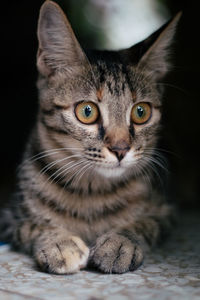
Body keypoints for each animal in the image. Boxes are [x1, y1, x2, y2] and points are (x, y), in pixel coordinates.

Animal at [0, 0, 181, 274]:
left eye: (141, 112)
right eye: (87, 111)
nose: (120, 149)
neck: (91, 192)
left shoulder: (165, 213)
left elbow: (145, 224)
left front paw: (120, 242)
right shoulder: (10, 219)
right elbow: (32, 226)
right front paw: (59, 242)